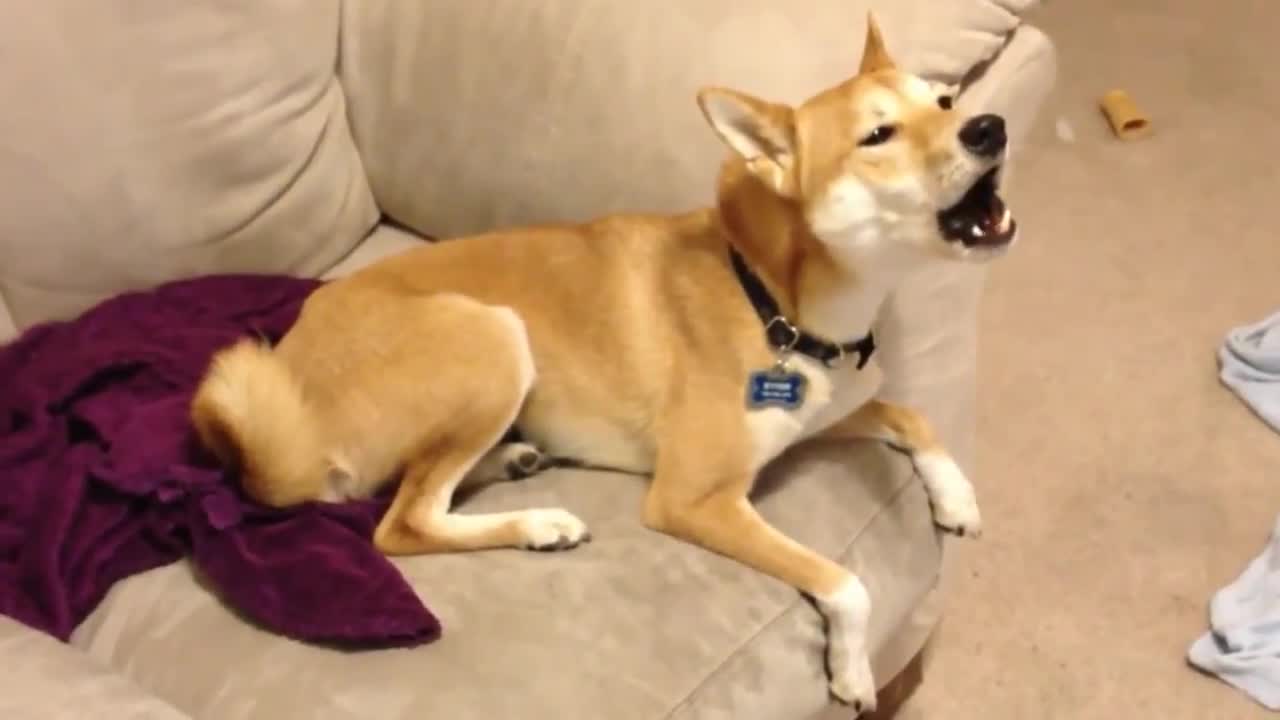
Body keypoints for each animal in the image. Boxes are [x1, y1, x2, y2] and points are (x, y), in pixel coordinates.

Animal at [189, 15, 1013, 712]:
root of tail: (287, 396)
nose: (990, 125)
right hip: (494, 337)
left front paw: (958, 496)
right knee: (402, 523)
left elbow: (911, 413)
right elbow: (846, 584)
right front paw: (852, 668)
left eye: (945, 100)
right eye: (878, 134)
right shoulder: (694, 497)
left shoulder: (825, 410)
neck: (774, 297)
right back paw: (537, 523)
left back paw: (514, 460)